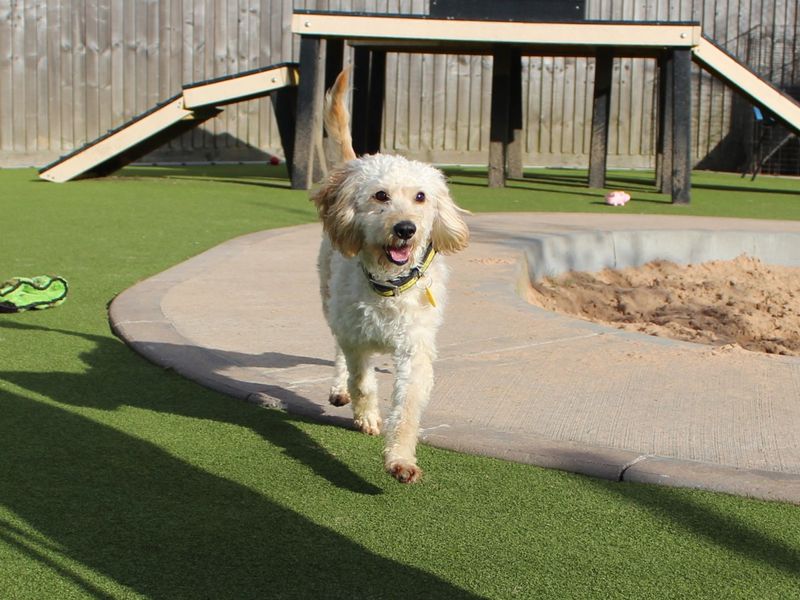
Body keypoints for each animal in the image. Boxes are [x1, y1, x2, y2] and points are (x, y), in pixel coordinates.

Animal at [312, 70, 468, 482]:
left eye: (420, 197)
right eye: (381, 195)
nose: (406, 229)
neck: (388, 287)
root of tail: (354, 164)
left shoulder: (415, 348)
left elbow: (408, 407)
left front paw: (400, 459)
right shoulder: (356, 339)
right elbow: (362, 382)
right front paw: (367, 415)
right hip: (329, 299)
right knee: (338, 353)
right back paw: (339, 389)